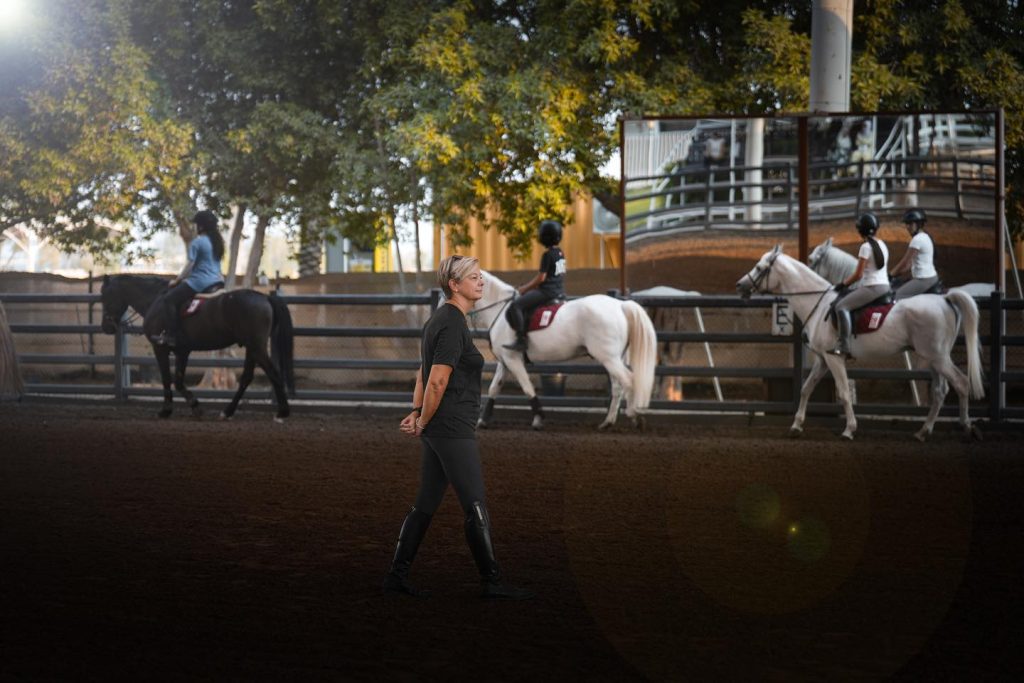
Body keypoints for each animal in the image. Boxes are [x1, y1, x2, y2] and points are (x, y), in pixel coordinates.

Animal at [100, 274, 296, 419]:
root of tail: (265, 297)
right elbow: (178, 381)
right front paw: (195, 407)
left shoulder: (160, 349)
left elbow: (167, 379)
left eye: (104, 296)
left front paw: (166, 410)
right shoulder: (182, 351)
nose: (106, 327)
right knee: (247, 378)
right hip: (252, 348)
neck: (155, 299)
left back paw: (282, 412)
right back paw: (228, 411)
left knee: (273, 373)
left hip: (257, 347)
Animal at [471, 270, 655, 428]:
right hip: (615, 358)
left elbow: (527, 387)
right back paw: (608, 422)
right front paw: (482, 420)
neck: (499, 311)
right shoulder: (505, 360)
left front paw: (538, 419)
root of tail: (620, 305)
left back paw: (634, 416)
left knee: (629, 380)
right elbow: (494, 388)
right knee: (618, 387)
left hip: (609, 358)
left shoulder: (513, 359)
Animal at [737, 248, 983, 440]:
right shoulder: (823, 359)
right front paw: (796, 426)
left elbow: (845, 392)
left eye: (760, 268)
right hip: (933, 359)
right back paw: (923, 431)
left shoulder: (834, 359)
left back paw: (967, 427)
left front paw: (849, 430)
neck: (819, 304)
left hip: (938, 358)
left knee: (961, 383)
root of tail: (945, 299)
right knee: (940, 391)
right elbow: (806, 389)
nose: (740, 285)